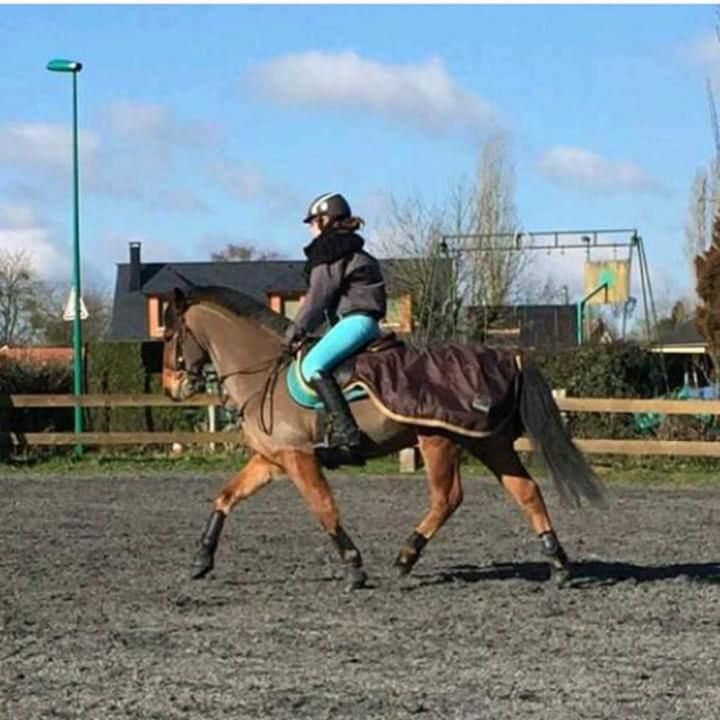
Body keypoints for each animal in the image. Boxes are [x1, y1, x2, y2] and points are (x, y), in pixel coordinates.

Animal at [162, 286, 605, 591]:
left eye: (169, 336)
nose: (171, 389)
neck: (263, 371)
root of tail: (507, 355)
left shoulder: (299, 458)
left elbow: (324, 509)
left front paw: (354, 567)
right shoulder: (273, 460)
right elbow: (225, 497)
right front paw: (201, 559)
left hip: (437, 440)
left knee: (447, 498)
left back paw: (406, 556)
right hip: (488, 443)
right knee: (526, 491)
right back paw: (559, 565)